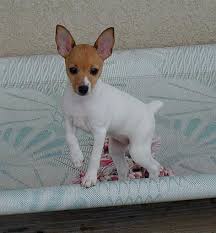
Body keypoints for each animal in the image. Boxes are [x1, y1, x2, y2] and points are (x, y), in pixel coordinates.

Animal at [54, 25, 163, 187]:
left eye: (94, 71)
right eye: (73, 70)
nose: (83, 88)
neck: (82, 102)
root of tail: (148, 108)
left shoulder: (99, 133)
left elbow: (94, 157)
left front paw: (90, 178)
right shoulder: (68, 121)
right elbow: (70, 138)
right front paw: (77, 157)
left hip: (138, 150)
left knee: (155, 166)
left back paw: (152, 181)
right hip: (116, 149)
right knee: (124, 169)